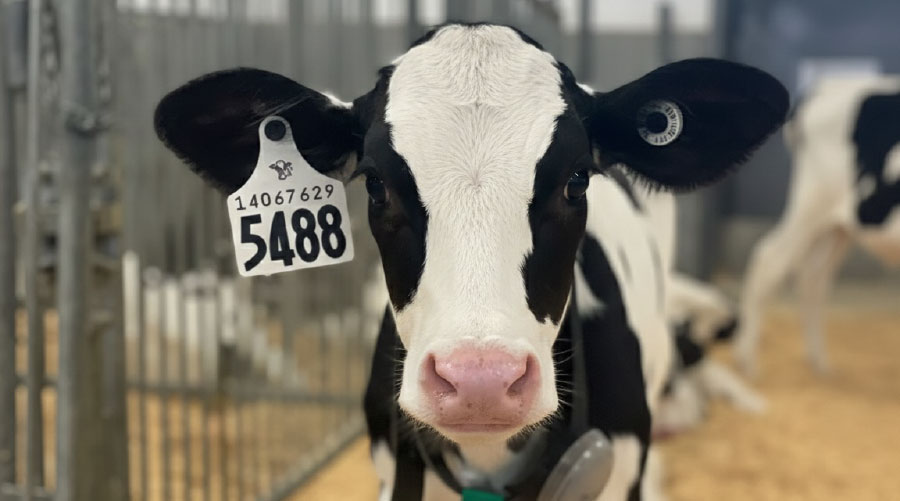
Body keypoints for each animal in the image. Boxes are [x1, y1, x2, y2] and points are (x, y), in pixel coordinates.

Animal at [735, 76, 900, 376]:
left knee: (814, 278)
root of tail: (828, 87)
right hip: (812, 203)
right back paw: (749, 362)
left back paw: (819, 362)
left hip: (836, 226)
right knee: (770, 260)